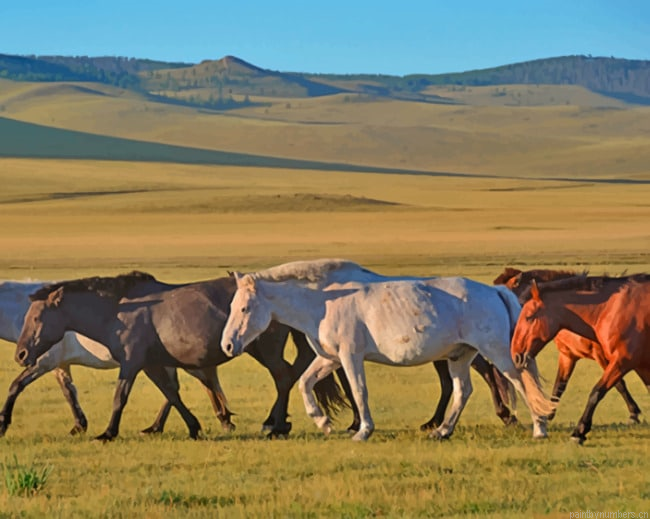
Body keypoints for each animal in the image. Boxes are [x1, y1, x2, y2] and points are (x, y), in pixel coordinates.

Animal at [10, 273, 347, 440]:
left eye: (37, 318)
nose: (21, 353)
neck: (118, 310)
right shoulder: (152, 364)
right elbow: (171, 394)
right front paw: (193, 427)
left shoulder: (131, 363)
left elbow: (120, 397)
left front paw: (107, 433)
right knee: (291, 372)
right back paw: (277, 423)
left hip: (263, 349)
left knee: (283, 377)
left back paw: (275, 426)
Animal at [220, 259, 555, 441]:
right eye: (232, 305)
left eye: (244, 308)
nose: (227, 344)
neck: (325, 301)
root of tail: (496, 291)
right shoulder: (330, 358)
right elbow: (305, 383)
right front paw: (323, 422)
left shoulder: (349, 356)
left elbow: (359, 391)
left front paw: (362, 430)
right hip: (459, 356)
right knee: (463, 391)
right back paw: (442, 431)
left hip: (497, 353)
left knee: (521, 382)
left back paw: (539, 428)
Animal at [511, 274, 650, 443]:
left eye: (529, 317)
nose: (516, 356)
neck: (610, 310)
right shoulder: (569, 356)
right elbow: (559, 386)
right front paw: (548, 414)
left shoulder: (621, 361)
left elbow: (598, 392)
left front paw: (579, 431)